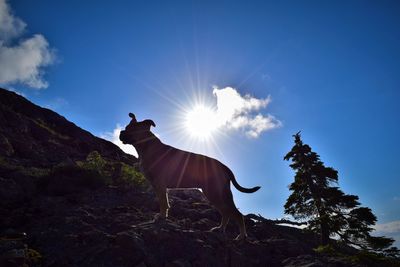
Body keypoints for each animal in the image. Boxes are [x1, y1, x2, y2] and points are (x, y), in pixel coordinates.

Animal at [120, 113, 260, 241]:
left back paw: (241, 236)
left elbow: (163, 203)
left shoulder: (160, 184)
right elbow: (165, 202)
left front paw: (161, 217)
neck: (146, 146)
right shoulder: (159, 186)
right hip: (215, 194)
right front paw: (163, 216)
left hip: (216, 192)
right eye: (126, 127)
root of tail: (224, 166)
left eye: (132, 129)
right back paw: (220, 229)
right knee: (226, 212)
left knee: (237, 214)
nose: (121, 133)